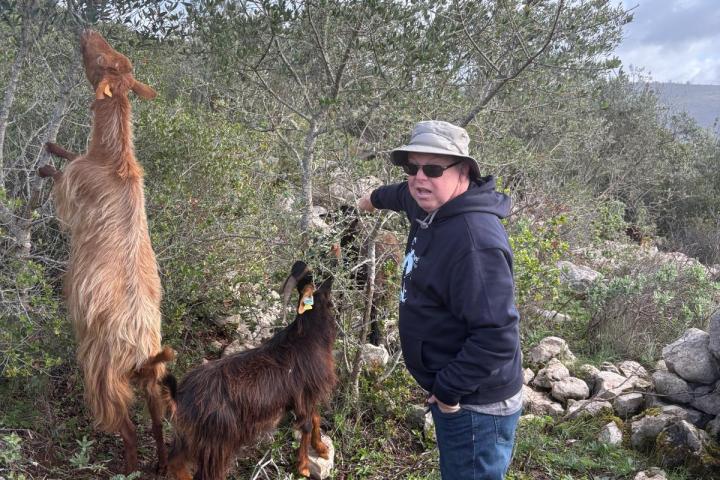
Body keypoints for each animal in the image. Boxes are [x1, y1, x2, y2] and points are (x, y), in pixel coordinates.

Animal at [38, 30, 172, 475]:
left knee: (127, 429)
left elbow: (61, 173)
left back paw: (128, 468)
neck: (114, 160)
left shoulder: (72, 193)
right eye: (114, 55)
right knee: (157, 424)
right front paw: (52, 144)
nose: (87, 33)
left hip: (103, 376)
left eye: (102, 61)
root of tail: (143, 355)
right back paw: (160, 466)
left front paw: (47, 160)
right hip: (154, 385)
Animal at [164, 254, 339, 480]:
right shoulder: (304, 395)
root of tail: (180, 397)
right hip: (217, 444)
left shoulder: (309, 395)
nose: (332, 278)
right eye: (315, 281)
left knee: (175, 462)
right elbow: (307, 424)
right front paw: (304, 467)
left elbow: (316, 418)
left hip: (188, 437)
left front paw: (321, 449)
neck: (309, 339)